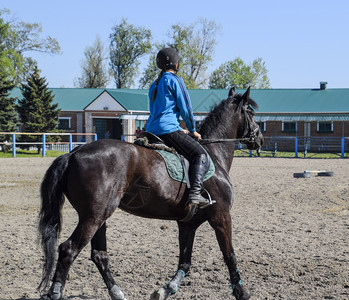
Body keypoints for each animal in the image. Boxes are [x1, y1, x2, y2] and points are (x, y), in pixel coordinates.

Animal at [38, 87, 260, 300]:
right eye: (251, 112)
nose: (259, 139)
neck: (214, 156)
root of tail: (73, 153)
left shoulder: (188, 224)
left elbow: (185, 262)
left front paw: (166, 290)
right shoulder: (221, 216)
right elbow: (229, 255)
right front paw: (241, 292)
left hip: (98, 217)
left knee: (99, 255)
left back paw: (117, 292)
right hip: (92, 217)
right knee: (68, 249)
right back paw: (55, 292)